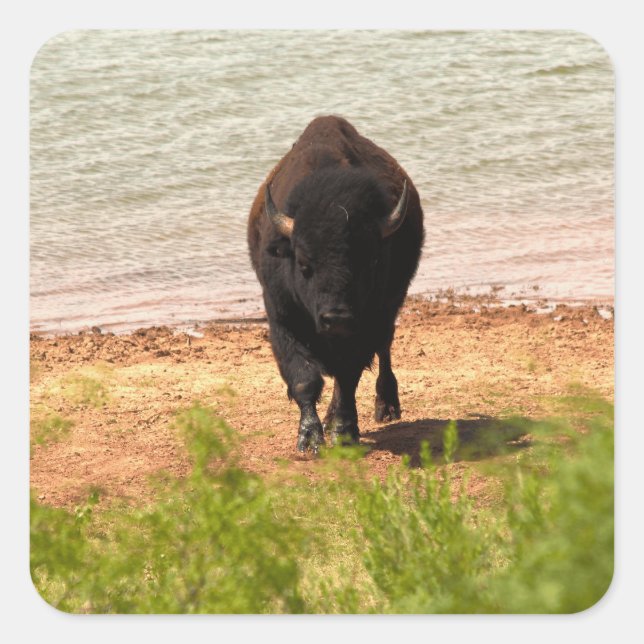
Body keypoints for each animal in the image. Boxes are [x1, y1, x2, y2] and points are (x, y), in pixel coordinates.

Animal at [247, 115, 424, 453]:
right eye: (304, 264)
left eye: (370, 261)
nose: (337, 318)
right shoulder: (282, 320)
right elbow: (305, 378)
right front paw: (309, 439)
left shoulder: (366, 325)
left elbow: (347, 376)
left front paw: (343, 432)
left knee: (384, 351)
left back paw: (386, 406)